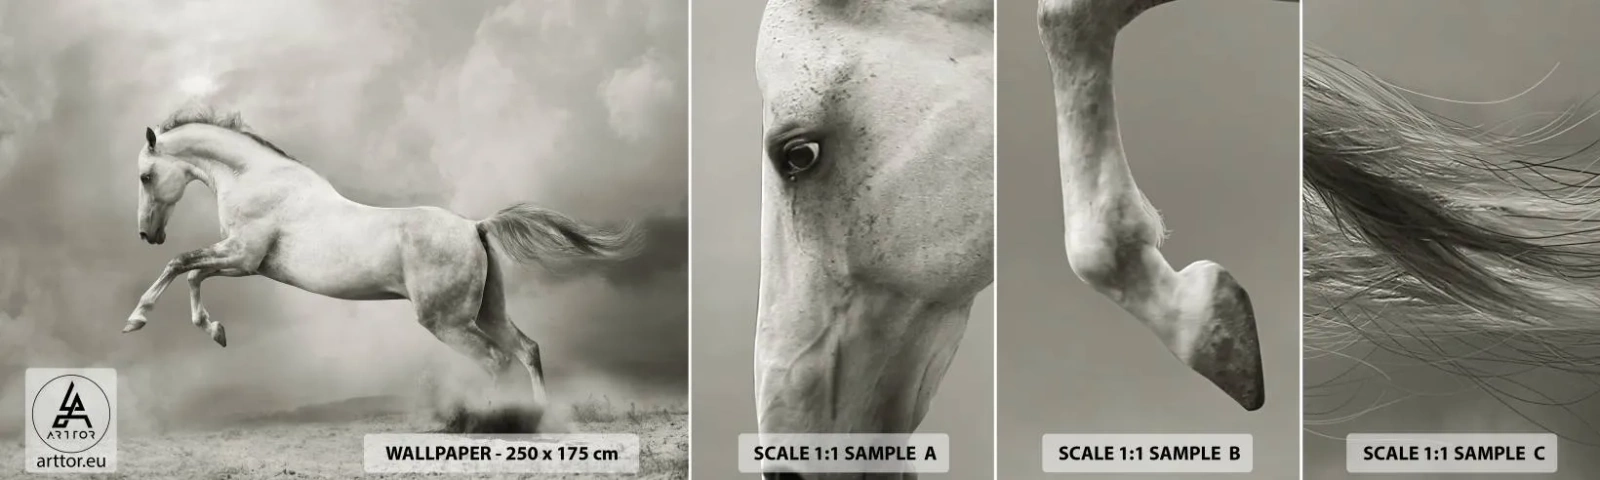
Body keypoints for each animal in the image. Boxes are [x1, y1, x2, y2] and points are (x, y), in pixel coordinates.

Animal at [122, 107, 643, 429]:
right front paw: (216, 331)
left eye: (146, 176)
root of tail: (475, 226)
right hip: (487, 311)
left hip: (446, 321)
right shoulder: (241, 260)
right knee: (528, 350)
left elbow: (181, 265)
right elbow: (192, 273)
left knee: (496, 360)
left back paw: (484, 422)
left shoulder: (243, 257)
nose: (147, 234)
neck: (256, 180)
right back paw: (536, 419)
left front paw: (137, 319)